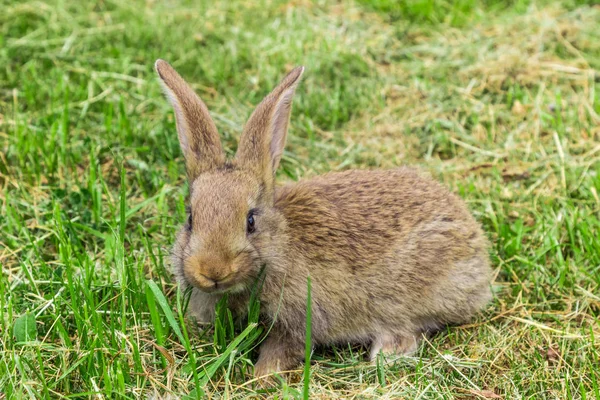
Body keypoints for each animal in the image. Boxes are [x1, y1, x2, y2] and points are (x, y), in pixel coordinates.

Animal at [157, 59, 494, 378]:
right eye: (191, 219)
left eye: (251, 221)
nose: (213, 271)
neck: (281, 244)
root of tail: (476, 247)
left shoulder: (298, 318)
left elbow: (282, 349)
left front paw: (261, 378)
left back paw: (385, 354)